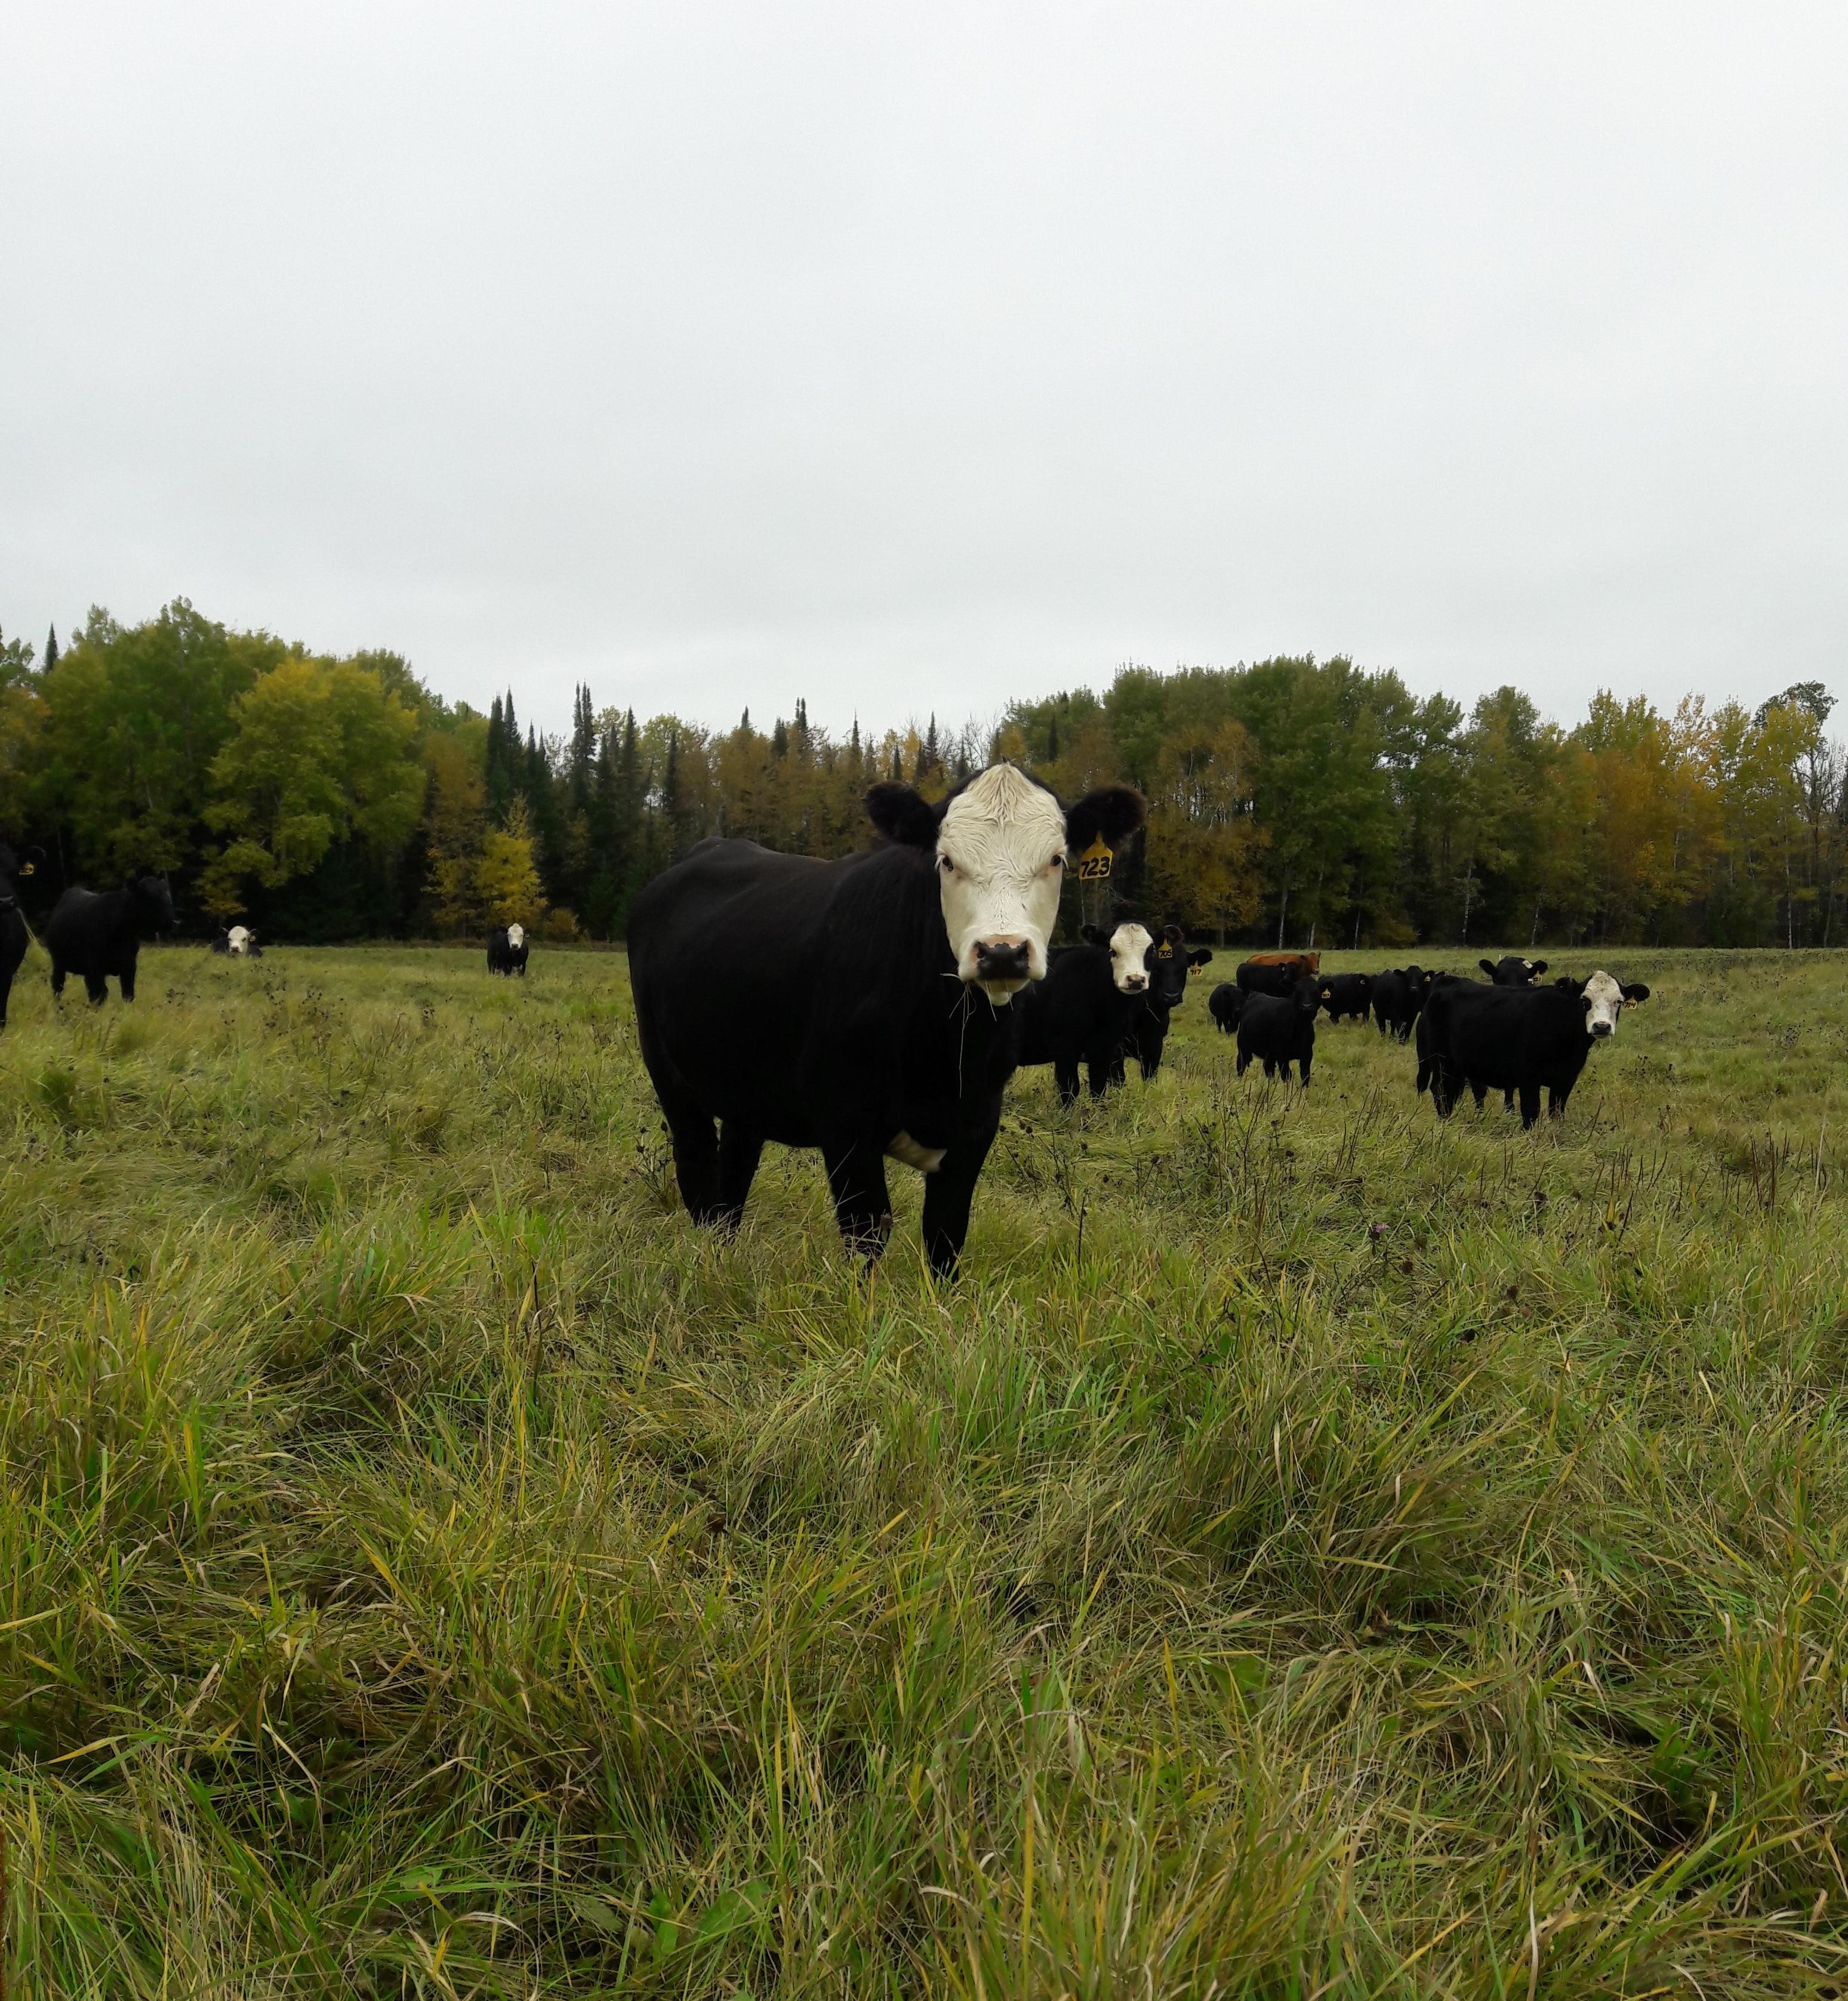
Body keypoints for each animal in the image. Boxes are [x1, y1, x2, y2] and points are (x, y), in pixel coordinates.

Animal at [1025, 920, 1153, 1112]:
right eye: (1112, 951)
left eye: (1151, 951)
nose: (1135, 980)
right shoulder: (1064, 1046)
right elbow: (1069, 1089)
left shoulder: (1105, 1049)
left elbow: (1098, 1088)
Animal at [1233, 976, 1321, 1089]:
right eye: (1297, 993)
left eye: (1316, 993)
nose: (1306, 1006)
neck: (1300, 1029)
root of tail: (1254, 994)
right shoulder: (1282, 1055)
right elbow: (1287, 1075)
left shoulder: (1307, 1054)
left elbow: (1305, 1076)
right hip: (1243, 1048)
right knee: (1241, 1065)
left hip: (1269, 1053)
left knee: (1268, 1068)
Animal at [1425, 968, 1658, 1129]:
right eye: (1585, 1000)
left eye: (1618, 1001)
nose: (1601, 1026)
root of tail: (1448, 980)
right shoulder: (1528, 1079)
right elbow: (1531, 1113)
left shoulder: (1565, 1081)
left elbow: (1556, 1113)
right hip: (1439, 1061)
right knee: (1440, 1092)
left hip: (1457, 1067)